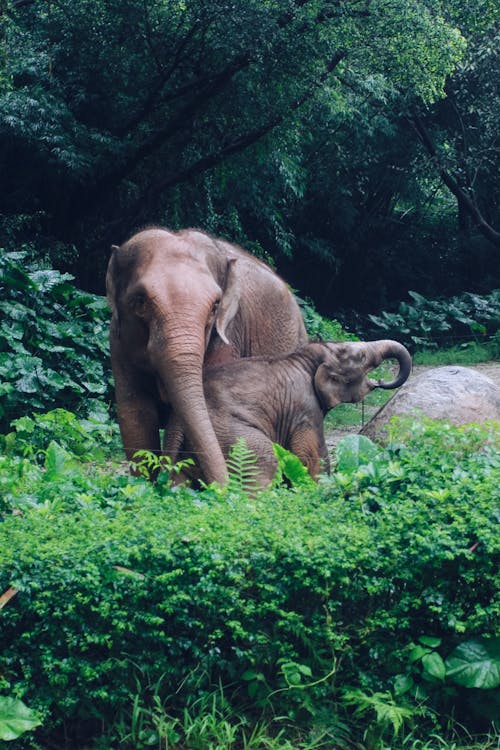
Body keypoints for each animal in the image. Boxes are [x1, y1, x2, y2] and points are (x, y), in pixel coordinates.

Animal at [107, 226, 306, 484]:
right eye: (139, 301)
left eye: (215, 306)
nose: (223, 488)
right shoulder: (118, 342)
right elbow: (135, 415)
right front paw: (144, 486)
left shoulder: (228, 336)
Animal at [172, 340, 410, 488]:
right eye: (361, 356)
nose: (381, 381)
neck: (306, 358)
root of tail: (177, 423)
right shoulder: (305, 408)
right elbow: (311, 455)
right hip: (230, 434)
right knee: (264, 462)